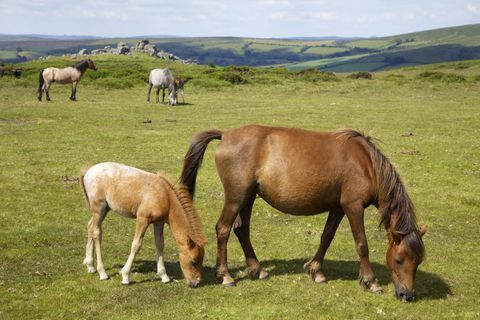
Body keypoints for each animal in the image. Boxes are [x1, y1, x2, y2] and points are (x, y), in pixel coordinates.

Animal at [180, 124, 428, 302]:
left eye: (418, 261)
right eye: (399, 260)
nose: (407, 295)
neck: (365, 163)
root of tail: (225, 135)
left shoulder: (338, 208)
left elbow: (326, 237)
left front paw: (316, 271)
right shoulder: (353, 207)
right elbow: (362, 245)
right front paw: (371, 281)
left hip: (248, 197)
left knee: (241, 230)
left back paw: (258, 269)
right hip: (236, 197)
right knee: (223, 229)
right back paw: (225, 276)